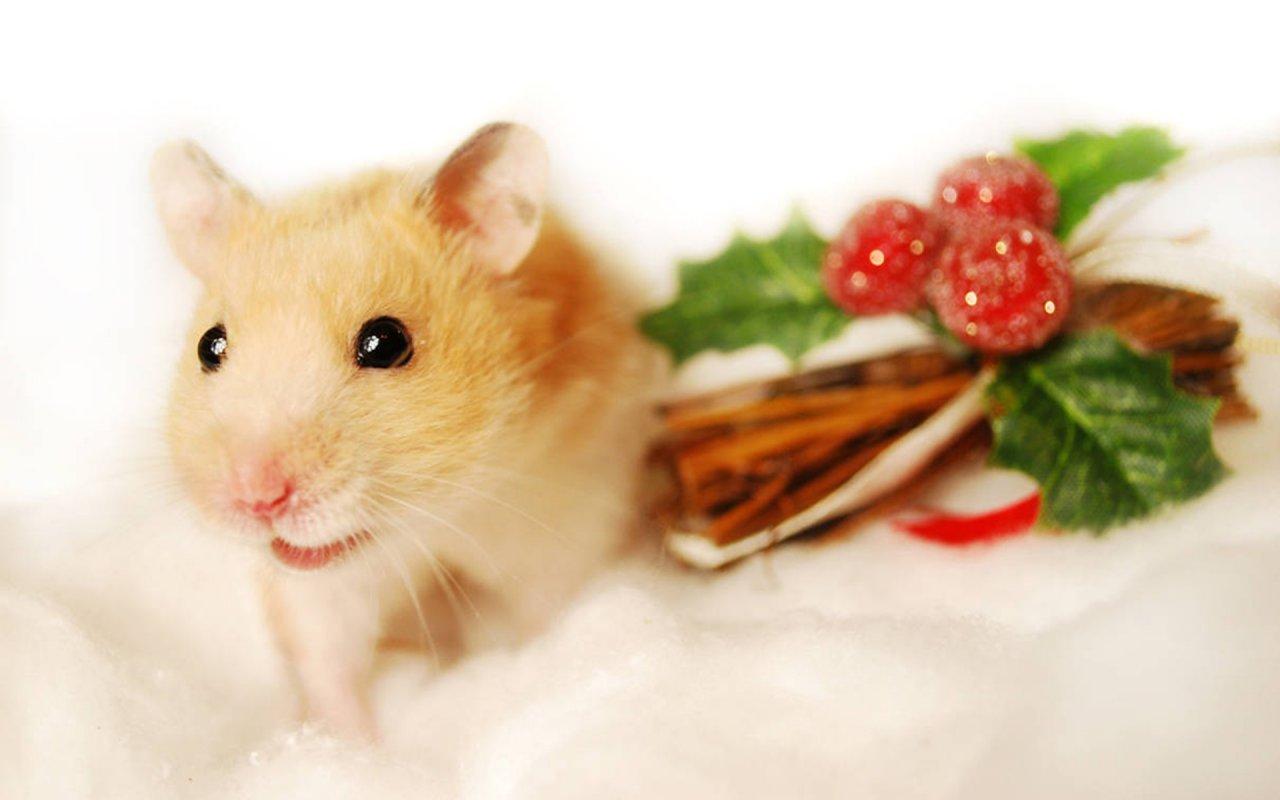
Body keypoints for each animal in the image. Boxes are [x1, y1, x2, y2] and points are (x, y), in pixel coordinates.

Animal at [151, 123, 655, 738]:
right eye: (210, 345)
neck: (435, 517)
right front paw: (353, 747)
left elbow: (547, 616)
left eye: (385, 343)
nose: (256, 498)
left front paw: (533, 674)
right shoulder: (321, 589)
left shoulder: (564, 523)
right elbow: (329, 663)